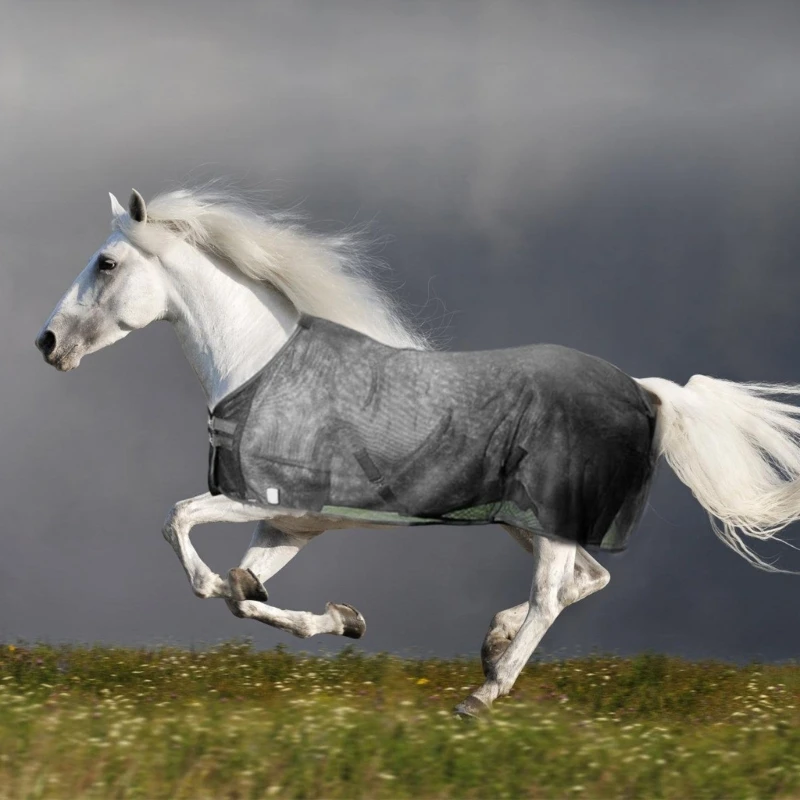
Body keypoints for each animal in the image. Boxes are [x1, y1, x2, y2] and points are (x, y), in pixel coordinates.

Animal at [37, 189, 800, 720]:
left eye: (107, 263)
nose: (47, 343)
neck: (265, 369)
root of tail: (646, 391)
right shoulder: (291, 525)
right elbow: (241, 597)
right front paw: (341, 618)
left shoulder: (258, 499)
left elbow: (184, 533)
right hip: (529, 524)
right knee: (585, 580)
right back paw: (493, 644)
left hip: (549, 522)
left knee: (554, 593)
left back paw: (484, 694)